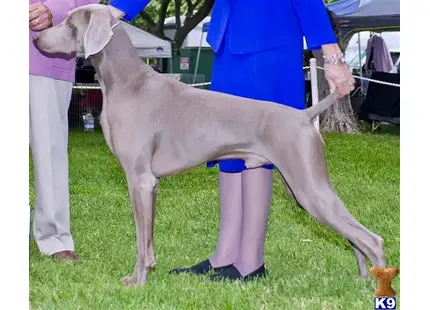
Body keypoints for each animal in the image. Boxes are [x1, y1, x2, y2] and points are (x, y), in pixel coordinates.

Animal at [34, 3, 386, 286]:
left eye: (69, 24)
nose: (37, 39)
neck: (127, 82)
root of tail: (304, 114)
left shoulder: (139, 179)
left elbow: (139, 239)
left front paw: (138, 283)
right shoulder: (151, 184)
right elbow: (148, 238)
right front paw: (142, 274)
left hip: (308, 186)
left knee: (371, 239)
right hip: (299, 188)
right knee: (354, 237)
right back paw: (362, 277)